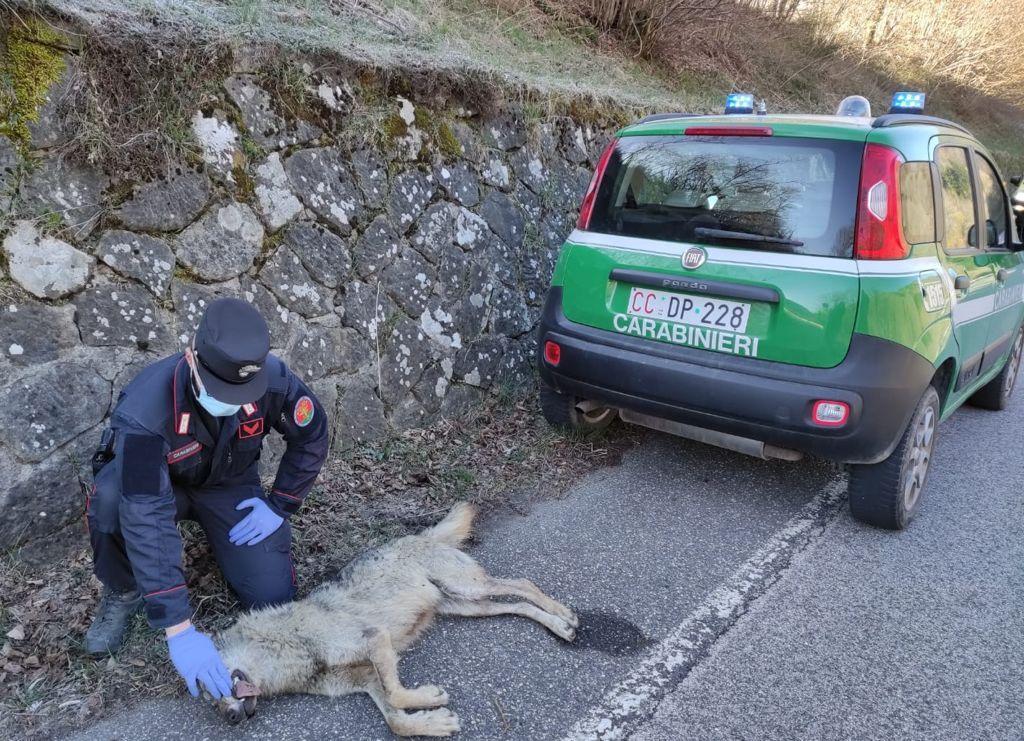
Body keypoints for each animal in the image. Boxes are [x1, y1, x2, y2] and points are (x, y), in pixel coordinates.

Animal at [212, 503, 579, 736]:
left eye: (208, 686)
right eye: (209, 699)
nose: (230, 720)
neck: (293, 646)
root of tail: (420, 535)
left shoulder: (376, 639)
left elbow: (396, 694)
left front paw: (432, 699)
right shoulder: (367, 679)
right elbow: (395, 719)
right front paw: (435, 721)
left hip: (470, 587)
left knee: (523, 584)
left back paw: (564, 614)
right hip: (469, 606)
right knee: (519, 606)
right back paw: (559, 627)